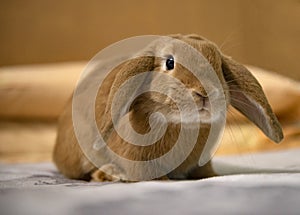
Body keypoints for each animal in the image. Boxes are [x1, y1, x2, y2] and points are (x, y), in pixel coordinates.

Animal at [52, 34, 284, 181]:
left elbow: (205, 174)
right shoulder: (138, 160)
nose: (204, 93)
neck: (182, 124)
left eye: (218, 66)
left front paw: (214, 176)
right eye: (169, 62)